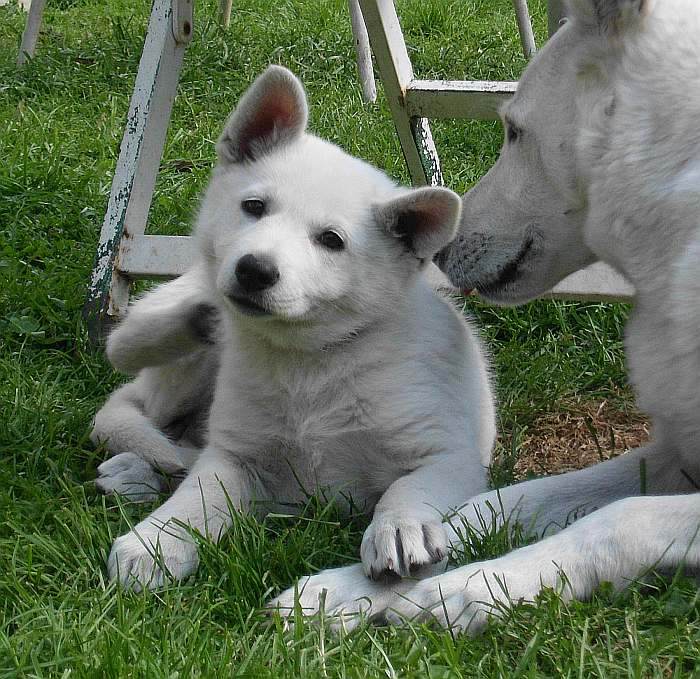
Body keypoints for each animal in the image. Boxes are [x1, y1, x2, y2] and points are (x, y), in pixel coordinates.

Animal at [94, 65, 498, 596]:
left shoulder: (449, 454)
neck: (311, 361)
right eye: (254, 206)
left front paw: (400, 528)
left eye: (331, 240)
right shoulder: (235, 456)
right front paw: (156, 541)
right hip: (181, 354)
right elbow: (196, 497)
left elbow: (407, 487)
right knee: (130, 363)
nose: (254, 271)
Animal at [282, 0, 700, 636]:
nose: (439, 251)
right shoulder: (675, 455)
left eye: (514, 131)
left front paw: (463, 591)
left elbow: (622, 518)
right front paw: (346, 589)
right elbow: (495, 504)